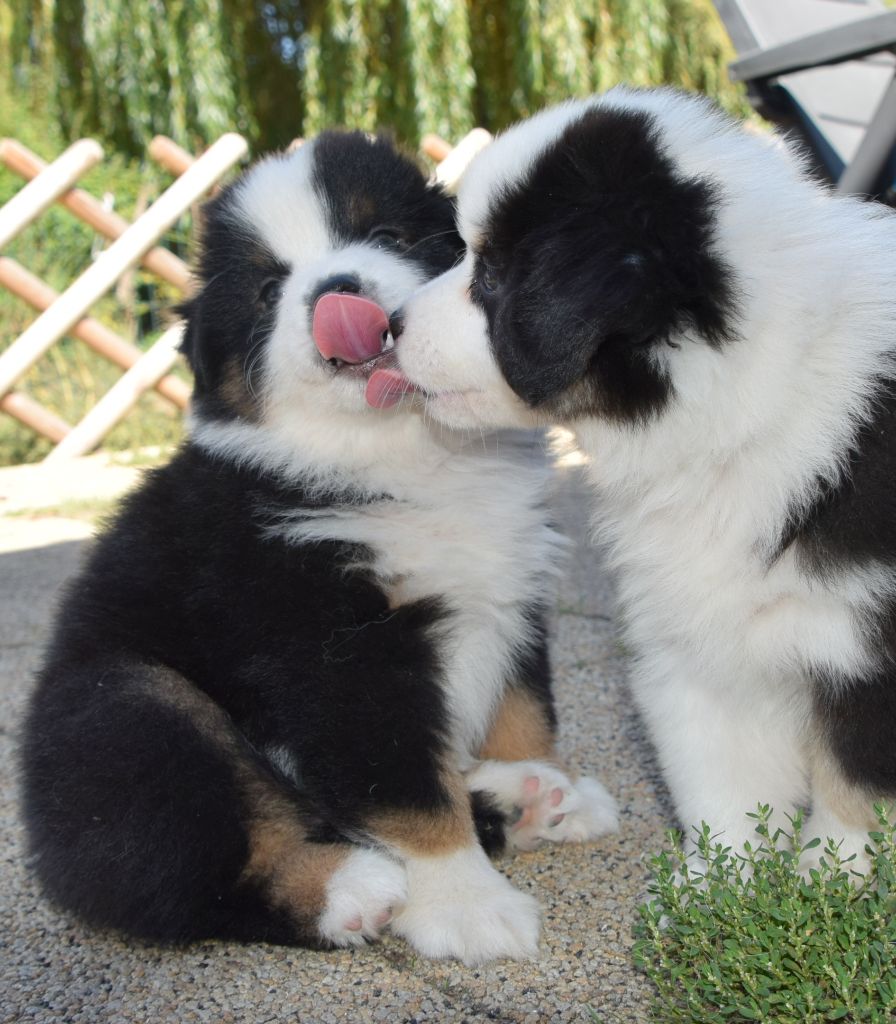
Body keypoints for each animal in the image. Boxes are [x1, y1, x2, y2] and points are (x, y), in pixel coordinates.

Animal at [20, 132, 618, 962]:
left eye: (389, 235)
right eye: (269, 290)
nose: (338, 292)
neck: (401, 456)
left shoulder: (513, 585)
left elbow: (523, 706)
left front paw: (541, 776)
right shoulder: (334, 646)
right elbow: (403, 788)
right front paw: (467, 904)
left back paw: (516, 798)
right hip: (127, 707)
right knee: (192, 872)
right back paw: (349, 889)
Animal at [389, 92, 896, 868]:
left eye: (494, 277)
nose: (389, 325)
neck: (740, 399)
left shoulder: (870, 659)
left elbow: (854, 788)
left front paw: (829, 880)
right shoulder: (699, 634)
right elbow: (721, 778)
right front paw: (724, 883)